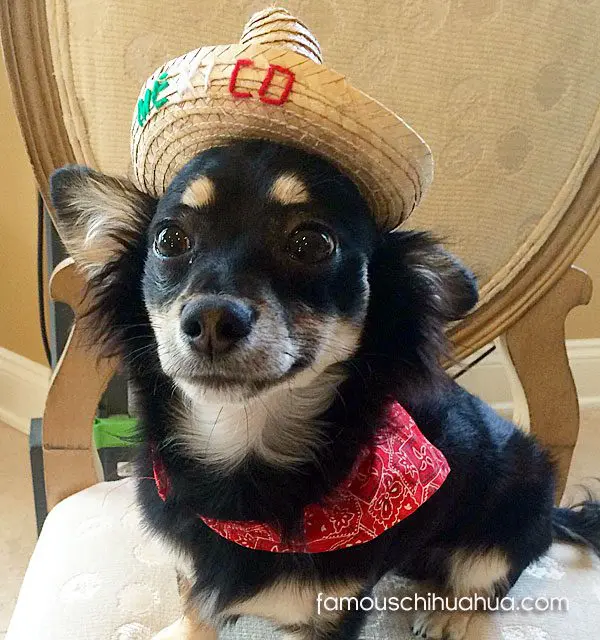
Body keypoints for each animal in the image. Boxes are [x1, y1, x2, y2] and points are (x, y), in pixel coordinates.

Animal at [50, 140, 600, 640]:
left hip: (511, 514)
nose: (211, 320)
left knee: (487, 579)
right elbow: (193, 607)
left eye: (312, 244)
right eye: (169, 239)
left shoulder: (334, 611)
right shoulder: (189, 569)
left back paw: (451, 614)